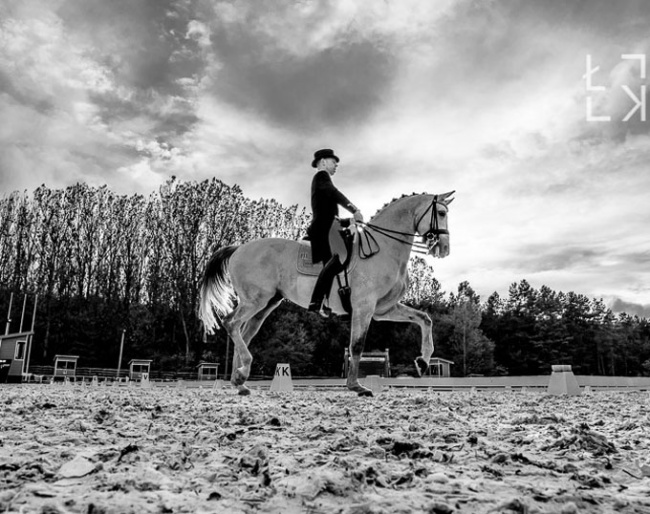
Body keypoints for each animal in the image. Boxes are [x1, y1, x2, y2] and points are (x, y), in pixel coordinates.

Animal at [195, 190, 454, 394]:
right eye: (441, 214)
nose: (444, 248)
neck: (383, 249)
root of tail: (239, 248)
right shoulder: (364, 307)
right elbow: (356, 345)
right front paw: (355, 386)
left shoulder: (383, 309)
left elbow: (425, 319)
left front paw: (423, 362)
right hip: (254, 301)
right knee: (230, 323)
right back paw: (241, 373)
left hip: (265, 305)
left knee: (243, 333)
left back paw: (239, 381)